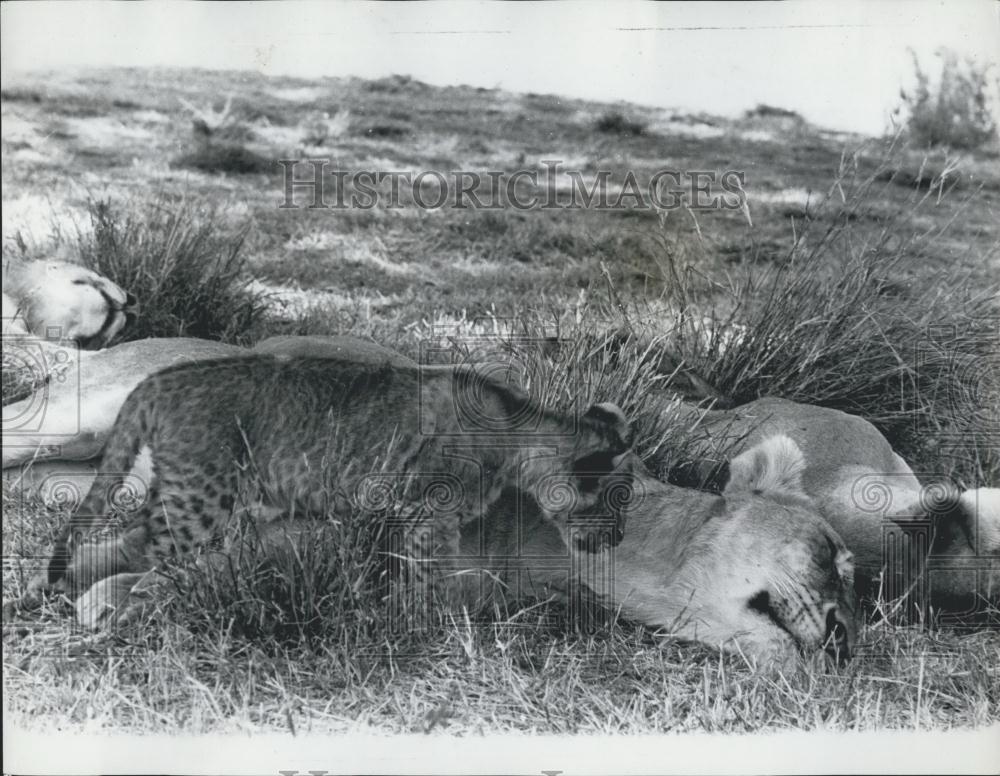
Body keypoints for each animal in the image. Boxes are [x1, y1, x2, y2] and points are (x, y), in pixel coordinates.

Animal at [9, 353, 855, 667]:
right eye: (832, 557)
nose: (849, 637)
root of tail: (160, 382)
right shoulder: (392, 515)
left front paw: (89, 594)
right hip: (106, 428)